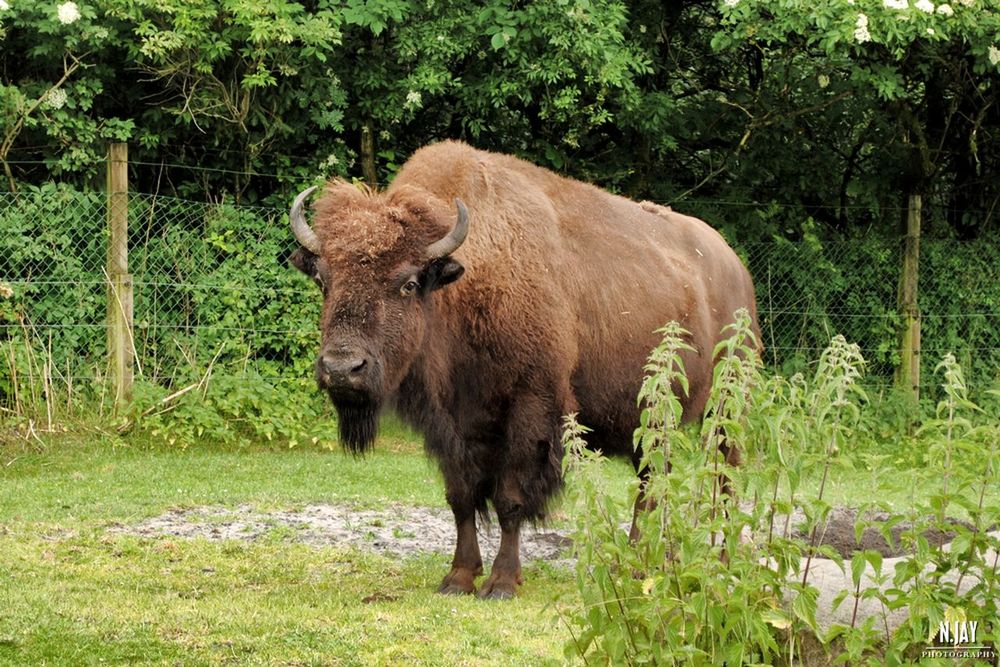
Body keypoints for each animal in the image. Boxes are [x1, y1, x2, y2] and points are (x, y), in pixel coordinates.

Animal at [290, 141, 756, 600]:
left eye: (407, 283)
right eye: (324, 280)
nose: (342, 368)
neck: (464, 282)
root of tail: (735, 268)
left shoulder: (530, 410)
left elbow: (510, 500)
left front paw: (501, 582)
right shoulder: (452, 424)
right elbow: (460, 497)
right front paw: (458, 578)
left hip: (727, 407)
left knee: (725, 474)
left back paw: (720, 562)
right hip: (652, 417)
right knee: (652, 480)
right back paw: (639, 561)